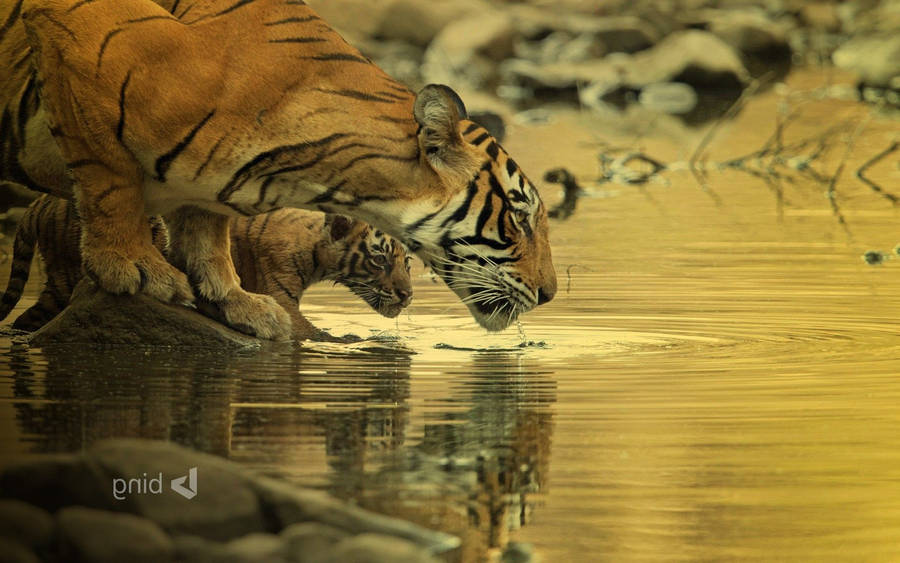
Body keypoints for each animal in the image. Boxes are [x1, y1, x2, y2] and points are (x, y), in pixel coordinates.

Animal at [0, 196, 413, 339]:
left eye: (407, 262)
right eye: (379, 259)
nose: (408, 295)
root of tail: (36, 204)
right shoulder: (281, 296)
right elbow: (313, 333)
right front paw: (352, 341)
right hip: (64, 278)